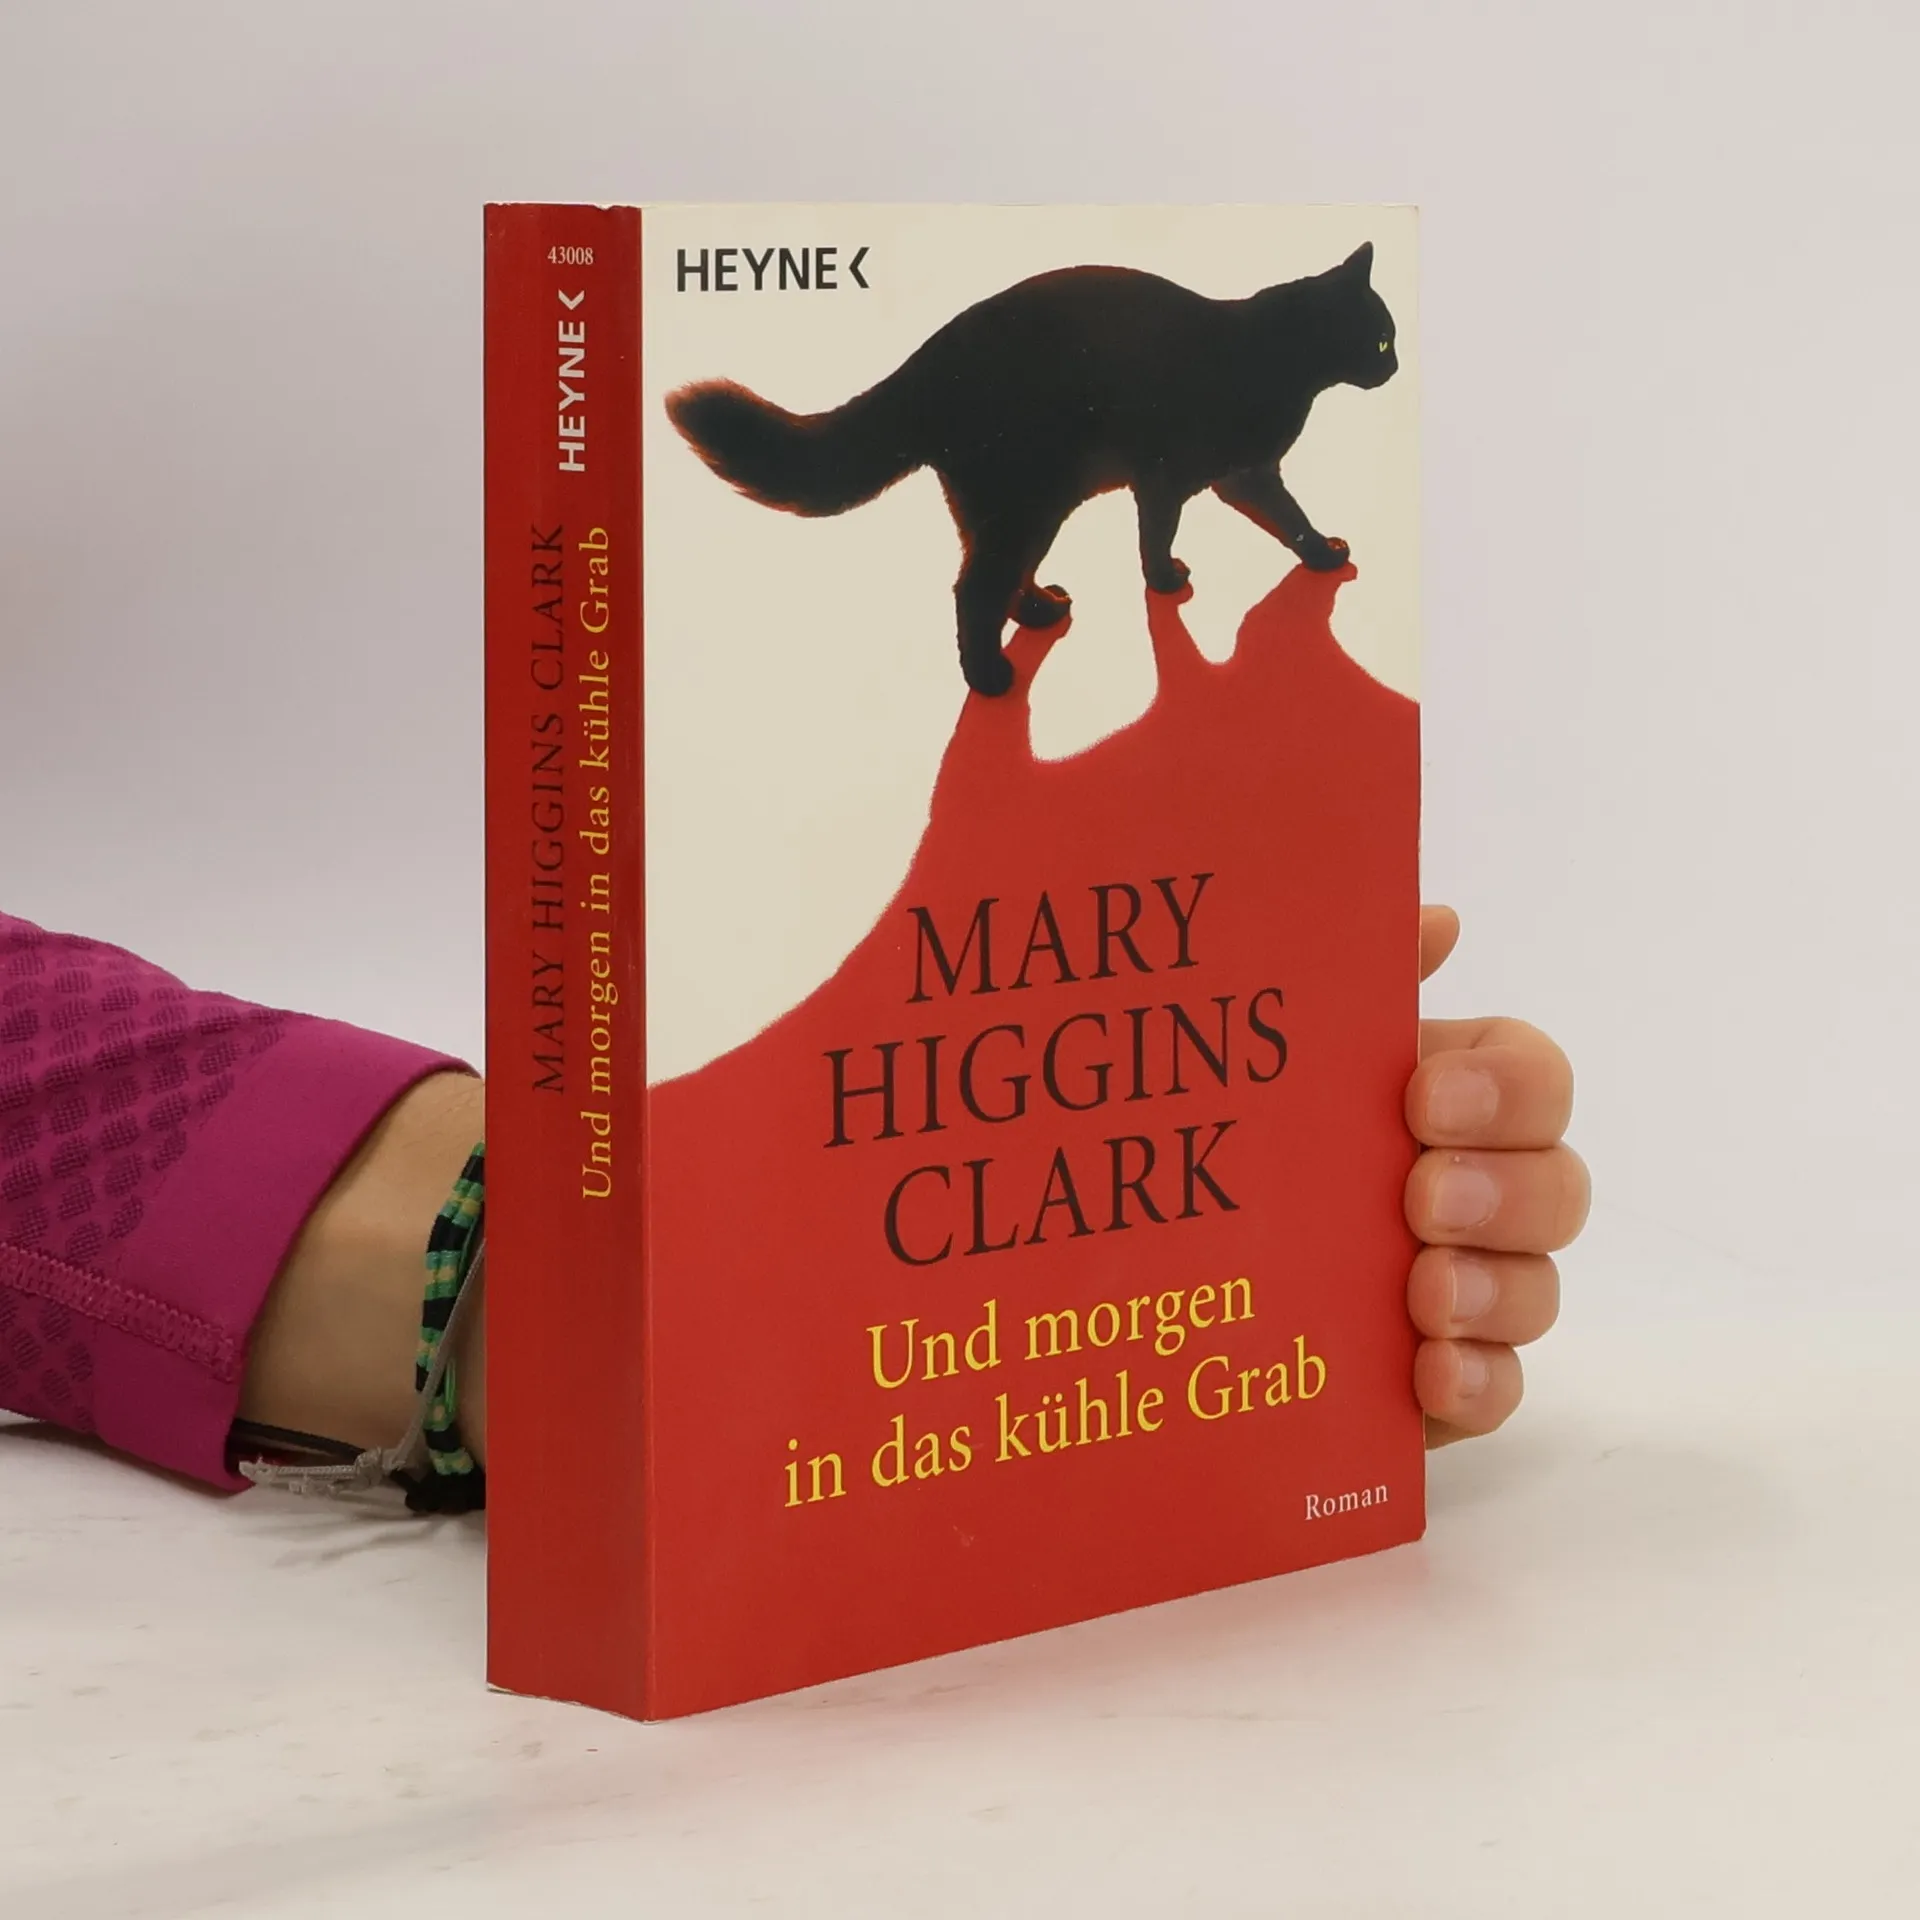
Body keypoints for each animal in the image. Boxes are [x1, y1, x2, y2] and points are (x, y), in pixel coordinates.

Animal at [667, 242, 1397, 697]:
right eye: (1382, 339)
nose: (1395, 366)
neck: (1276, 353)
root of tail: (924, 363)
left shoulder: (1222, 475)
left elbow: (1260, 520)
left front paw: (1307, 557)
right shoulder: (1191, 473)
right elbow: (1187, 530)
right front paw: (1178, 580)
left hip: (1005, 506)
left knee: (994, 574)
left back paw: (1041, 611)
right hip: (1027, 503)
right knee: (973, 589)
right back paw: (989, 679)